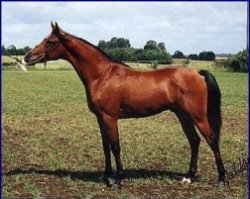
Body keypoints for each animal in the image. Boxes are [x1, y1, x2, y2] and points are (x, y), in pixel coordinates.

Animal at [23, 22, 227, 189]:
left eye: (50, 41)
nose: (27, 57)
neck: (102, 75)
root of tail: (198, 73)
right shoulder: (100, 119)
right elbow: (105, 146)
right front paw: (106, 176)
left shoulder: (110, 118)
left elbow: (115, 146)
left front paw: (118, 180)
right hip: (182, 115)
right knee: (194, 140)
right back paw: (188, 177)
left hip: (197, 116)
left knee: (211, 139)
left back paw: (222, 178)